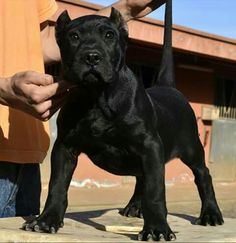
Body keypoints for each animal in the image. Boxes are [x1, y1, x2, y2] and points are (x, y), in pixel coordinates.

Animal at [23, 0, 224, 241]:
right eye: (74, 36)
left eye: (109, 35)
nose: (92, 56)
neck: (97, 97)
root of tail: (168, 87)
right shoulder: (64, 147)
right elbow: (57, 185)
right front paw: (47, 219)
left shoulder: (149, 145)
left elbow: (155, 191)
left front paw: (157, 228)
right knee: (142, 178)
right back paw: (134, 206)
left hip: (191, 149)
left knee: (203, 175)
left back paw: (211, 214)